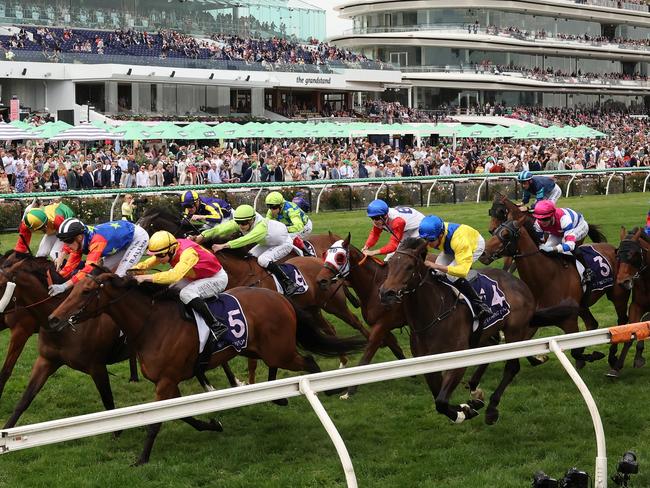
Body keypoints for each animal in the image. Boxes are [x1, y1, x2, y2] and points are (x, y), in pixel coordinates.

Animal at [46, 270, 364, 466]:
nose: (53, 319)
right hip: (255, 347)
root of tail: (279, 297)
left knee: (308, 361)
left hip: (282, 350)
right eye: (72, 288)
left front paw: (142, 458)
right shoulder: (169, 381)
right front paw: (213, 424)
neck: (152, 323)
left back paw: (323, 388)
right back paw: (280, 396)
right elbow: (183, 416)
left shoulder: (166, 381)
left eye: (87, 291)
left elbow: (155, 422)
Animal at [378, 238, 576, 426]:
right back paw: (475, 391)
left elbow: (441, 401)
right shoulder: (427, 364)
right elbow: (438, 396)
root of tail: (520, 283)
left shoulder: (458, 360)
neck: (433, 314)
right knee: (489, 352)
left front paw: (462, 413)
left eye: (409, 266)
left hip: (515, 330)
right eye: (389, 264)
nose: (386, 293)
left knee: (512, 367)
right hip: (486, 333)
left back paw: (492, 409)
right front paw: (466, 407)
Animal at [480, 208, 628, 368]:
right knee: (592, 324)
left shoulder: (569, 321)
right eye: (495, 232)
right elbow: (522, 345)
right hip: (582, 306)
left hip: (618, 295)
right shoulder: (534, 319)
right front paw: (539, 358)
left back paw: (612, 358)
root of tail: (613, 248)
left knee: (622, 321)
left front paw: (592, 355)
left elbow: (575, 351)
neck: (546, 279)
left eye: (506, 234)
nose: (483, 253)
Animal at [608, 227, 648, 376]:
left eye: (632, 254)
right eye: (618, 255)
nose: (622, 282)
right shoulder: (636, 306)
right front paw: (616, 368)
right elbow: (631, 332)